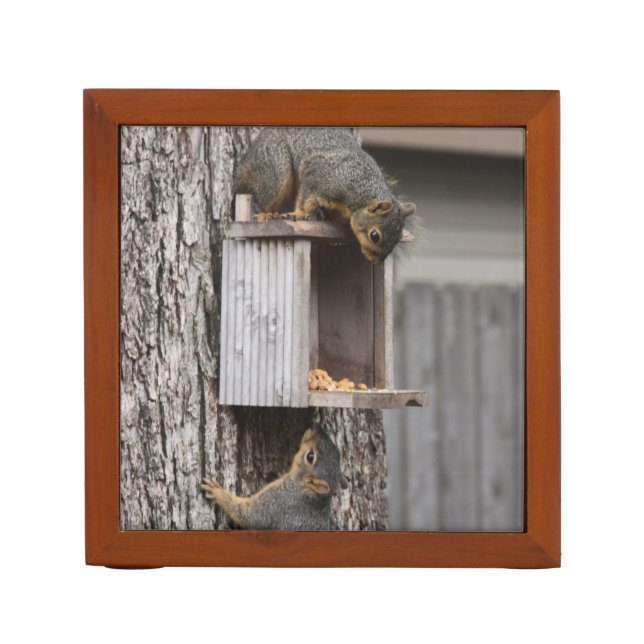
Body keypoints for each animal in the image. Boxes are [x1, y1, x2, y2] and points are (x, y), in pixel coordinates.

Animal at [201, 425, 348, 530]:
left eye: (310, 456)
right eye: (337, 451)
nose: (315, 426)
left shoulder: (277, 502)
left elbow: (248, 514)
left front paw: (217, 491)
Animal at [234, 127, 416, 263]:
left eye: (399, 238)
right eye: (374, 236)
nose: (377, 262)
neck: (359, 190)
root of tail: (247, 161)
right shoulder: (318, 178)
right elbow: (306, 198)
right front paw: (299, 214)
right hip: (276, 167)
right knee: (265, 198)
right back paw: (267, 213)